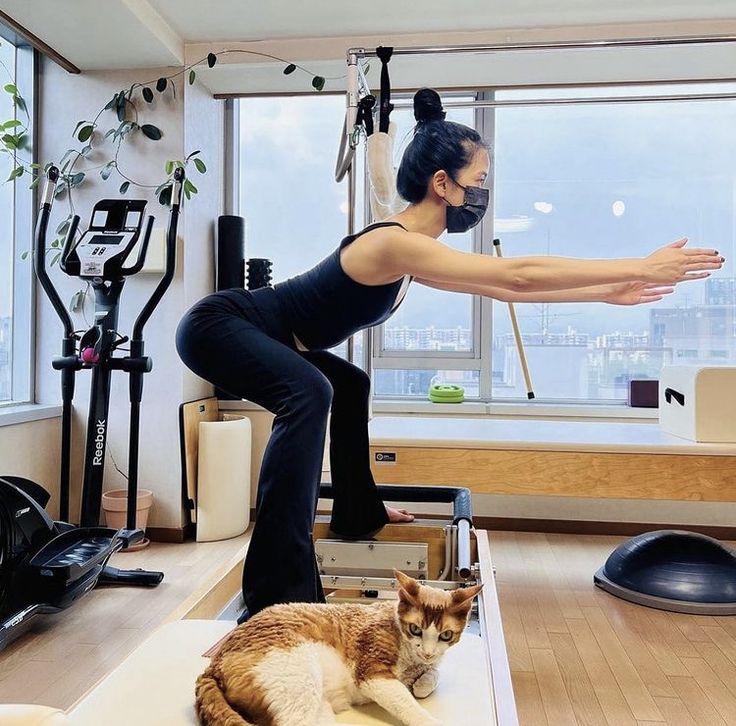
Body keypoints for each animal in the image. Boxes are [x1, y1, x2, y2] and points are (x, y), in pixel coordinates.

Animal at [196, 576, 484, 726]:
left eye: (446, 635)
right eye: (415, 629)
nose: (427, 651)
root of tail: (211, 667)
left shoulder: (429, 663)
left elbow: (433, 675)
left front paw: (423, 682)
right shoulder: (373, 674)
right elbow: (407, 703)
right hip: (299, 687)